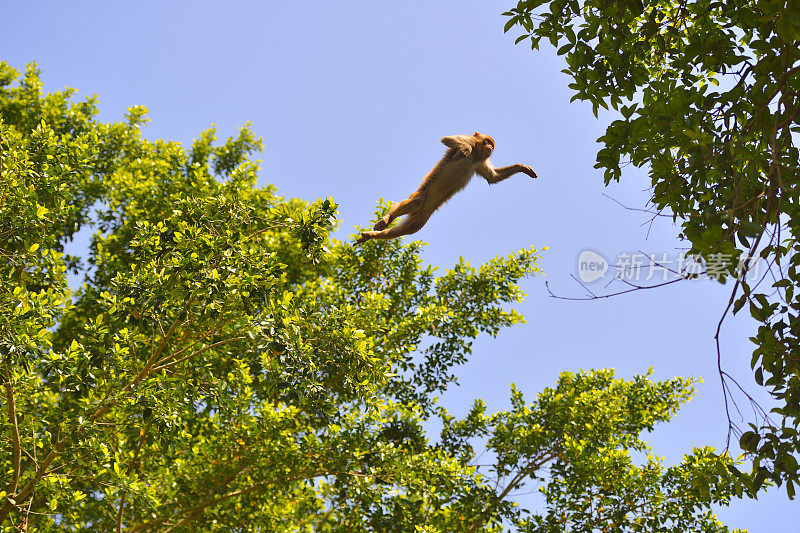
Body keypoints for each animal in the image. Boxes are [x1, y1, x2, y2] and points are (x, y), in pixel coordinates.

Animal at [358, 133, 536, 243]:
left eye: (491, 145)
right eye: (486, 142)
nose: (490, 148)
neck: (476, 156)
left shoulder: (481, 161)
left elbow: (493, 177)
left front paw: (522, 167)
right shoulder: (470, 141)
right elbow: (450, 139)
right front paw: (465, 150)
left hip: (423, 215)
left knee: (410, 228)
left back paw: (371, 235)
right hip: (423, 196)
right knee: (417, 201)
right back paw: (387, 218)